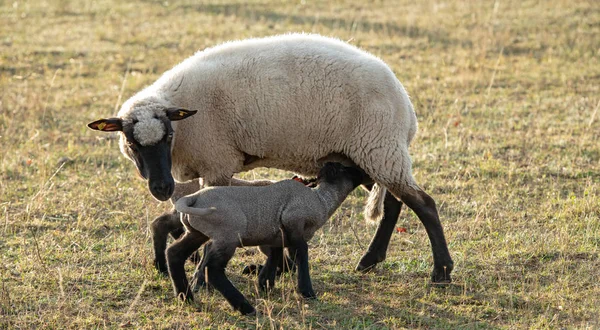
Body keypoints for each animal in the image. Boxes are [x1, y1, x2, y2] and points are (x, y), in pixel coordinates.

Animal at [86, 33, 454, 284]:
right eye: (131, 143)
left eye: (167, 136)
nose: (161, 188)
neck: (183, 121)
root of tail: (405, 104)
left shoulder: (217, 161)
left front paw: (202, 272)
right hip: (367, 154)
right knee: (394, 203)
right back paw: (371, 259)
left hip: (379, 147)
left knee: (423, 204)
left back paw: (441, 270)